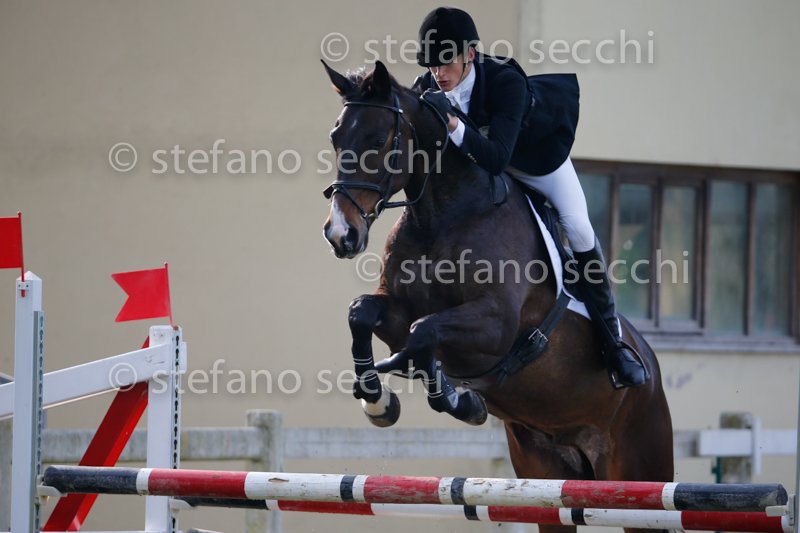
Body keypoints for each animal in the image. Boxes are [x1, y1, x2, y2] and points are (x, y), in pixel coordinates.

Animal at [321, 59, 674, 533]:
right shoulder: (397, 311)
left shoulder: (496, 326)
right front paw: (378, 401)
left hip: (638, 475)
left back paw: (624, 363)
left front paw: (457, 398)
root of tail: (652, 372)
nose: (341, 234)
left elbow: (423, 332)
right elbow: (364, 315)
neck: (442, 213)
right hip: (545, 473)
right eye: (336, 138)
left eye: (378, 141)